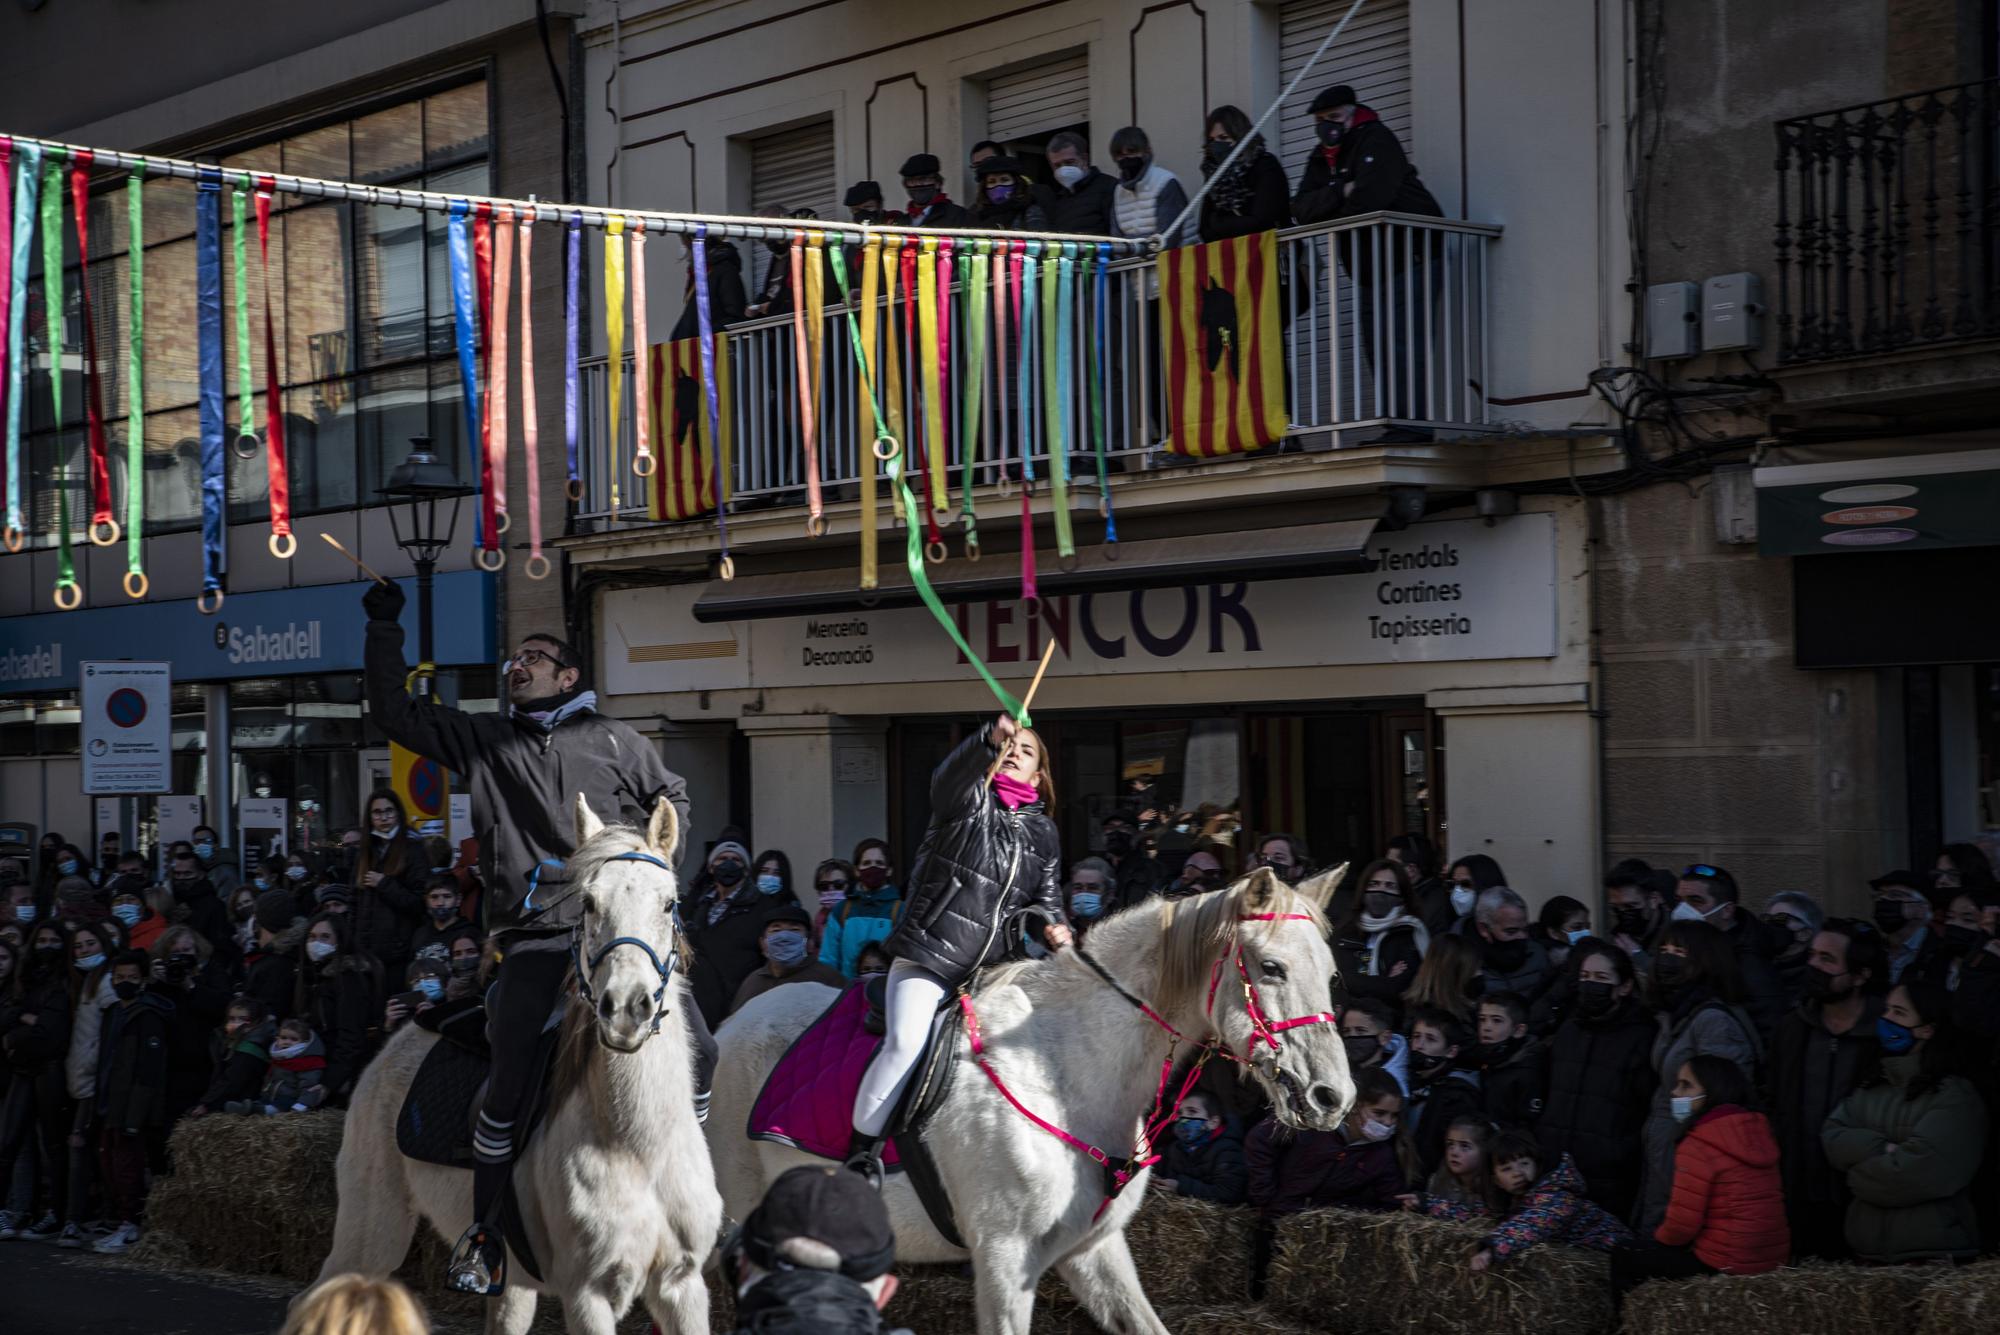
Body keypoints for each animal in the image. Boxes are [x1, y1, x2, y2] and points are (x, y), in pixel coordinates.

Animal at [312, 799, 720, 1327]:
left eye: (668, 903)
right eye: (589, 903)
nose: (626, 1009)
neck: (635, 1144)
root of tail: (391, 1044)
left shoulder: (681, 1284)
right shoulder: (587, 1292)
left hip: (510, 1285)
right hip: (371, 1232)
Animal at [712, 867, 1352, 1335]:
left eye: (1331, 972)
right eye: (1271, 967)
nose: (1332, 1097)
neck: (1067, 1072)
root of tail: (730, 1024)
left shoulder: (1094, 1251)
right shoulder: (1004, 1258)